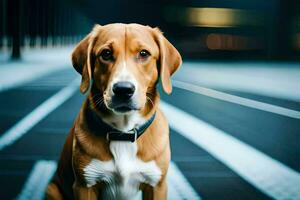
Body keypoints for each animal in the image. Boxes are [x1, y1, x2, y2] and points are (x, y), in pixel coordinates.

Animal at [45, 22, 182, 199]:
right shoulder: (84, 186)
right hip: (51, 189)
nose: (123, 89)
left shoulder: (157, 185)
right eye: (106, 53)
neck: (123, 132)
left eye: (143, 53)